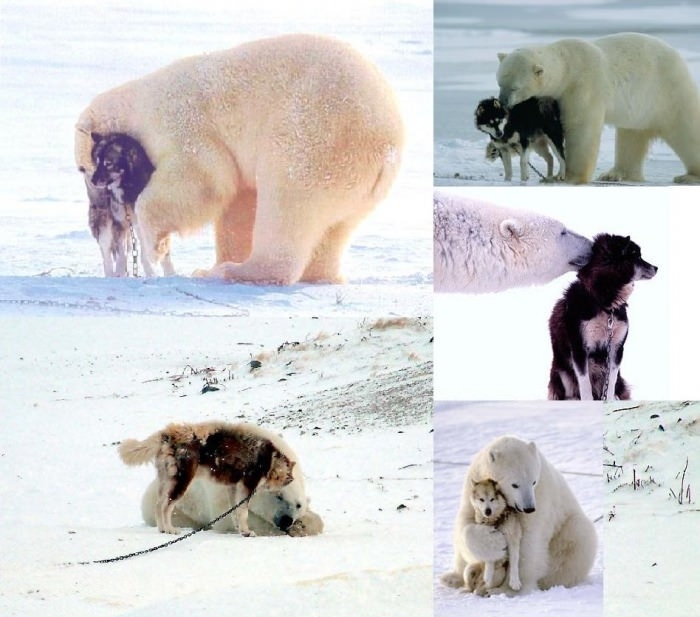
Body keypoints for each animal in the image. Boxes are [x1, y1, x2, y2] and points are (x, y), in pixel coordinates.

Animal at [74, 34, 404, 283]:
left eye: (85, 167)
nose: (96, 195)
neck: (138, 103)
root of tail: (386, 145)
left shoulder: (180, 122)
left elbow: (204, 179)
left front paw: (154, 245)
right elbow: (239, 201)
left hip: (315, 137)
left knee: (287, 203)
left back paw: (232, 271)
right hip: (355, 182)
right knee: (334, 227)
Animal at [139, 426, 323, 537]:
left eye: (298, 505)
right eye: (278, 496)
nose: (286, 520)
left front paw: (304, 524)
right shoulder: (221, 493)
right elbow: (227, 518)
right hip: (182, 511)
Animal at [441, 435, 597, 593]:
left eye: (533, 482)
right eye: (514, 484)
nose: (529, 508)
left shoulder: (541, 496)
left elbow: (527, 541)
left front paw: (509, 589)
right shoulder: (473, 484)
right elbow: (465, 522)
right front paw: (494, 543)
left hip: (566, 531)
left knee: (577, 535)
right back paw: (453, 578)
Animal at [496, 33, 700, 184]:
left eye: (515, 87)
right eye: (500, 83)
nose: (503, 102)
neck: (567, 63)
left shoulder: (582, 86)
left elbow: (581, 128)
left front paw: (569, 176)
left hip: (667, 91)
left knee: (687, 131)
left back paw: (688, 176)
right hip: (639, 109)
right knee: (630, 138)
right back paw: (615, 174)